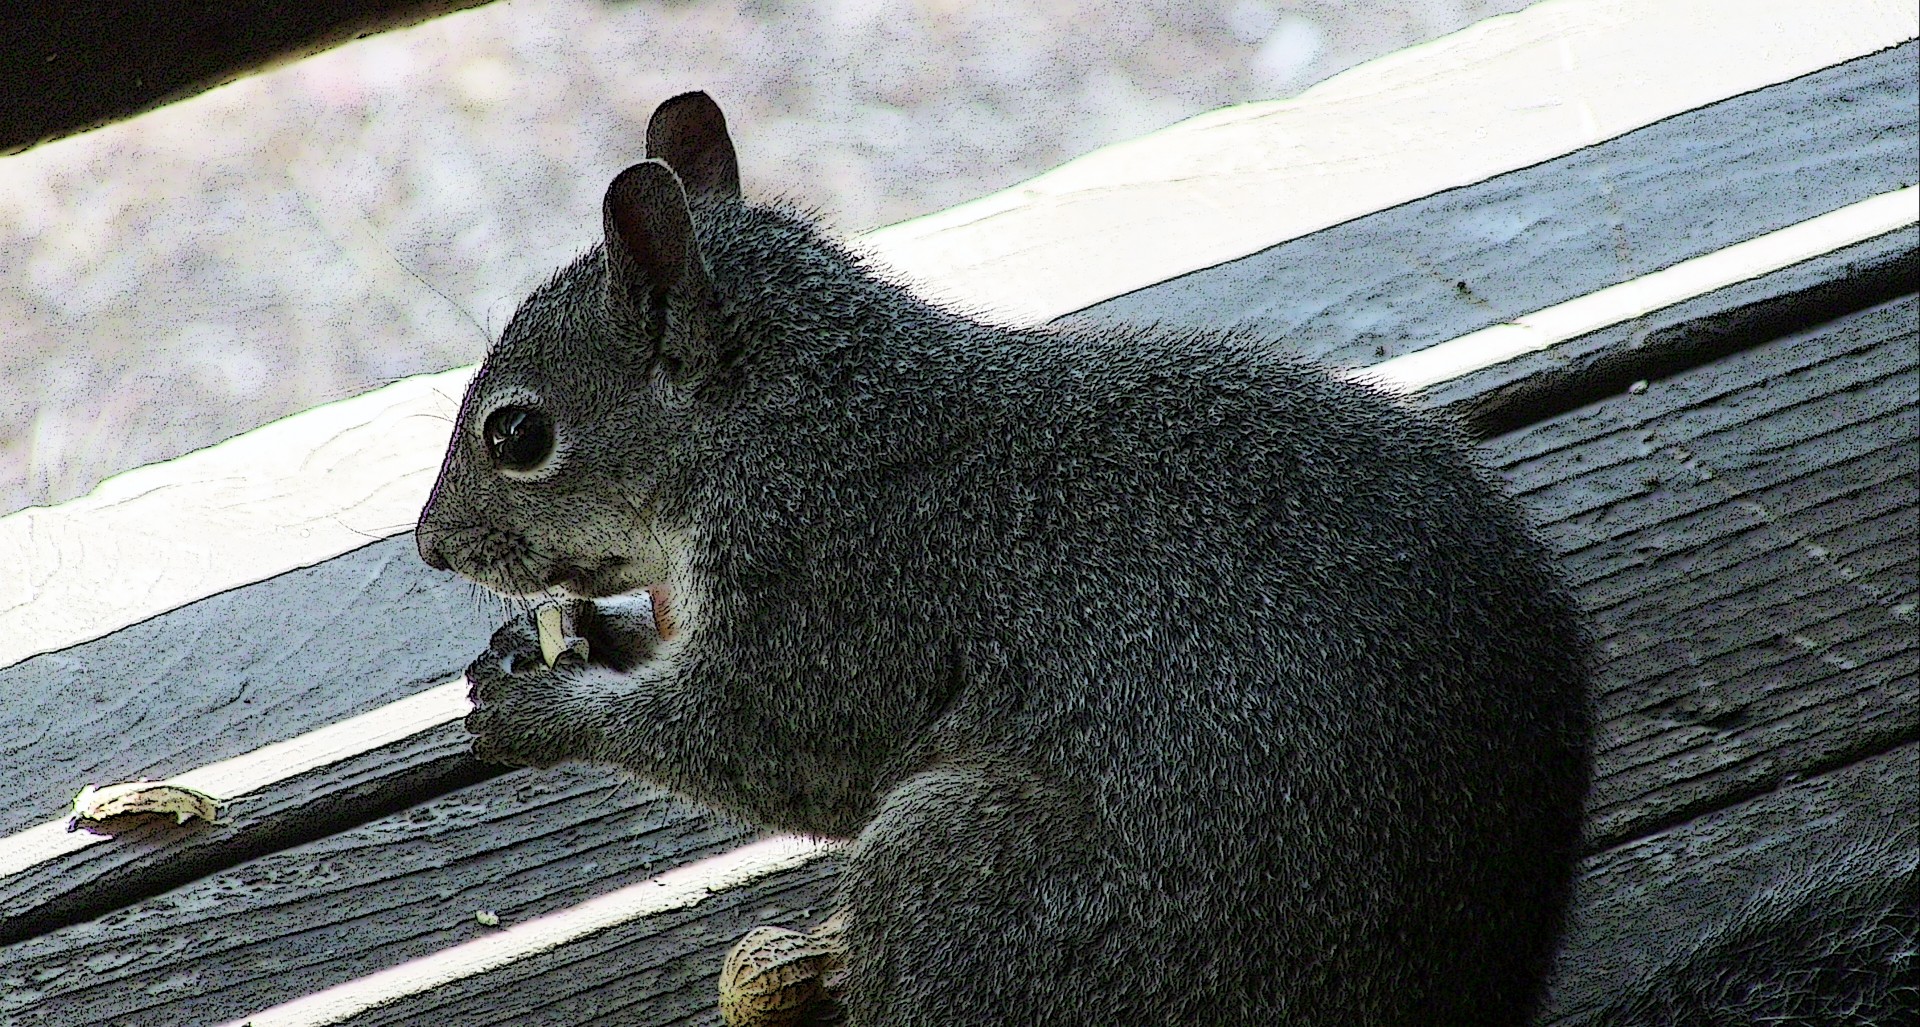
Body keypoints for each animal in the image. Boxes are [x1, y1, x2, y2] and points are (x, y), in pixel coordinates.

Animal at [416, 92, 1589, 1021]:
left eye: (518, 435)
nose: (431, 545)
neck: (792, 416)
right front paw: (557, 642)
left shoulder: (835, 583)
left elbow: (773, 746)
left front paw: (544, 713)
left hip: (976, 887)